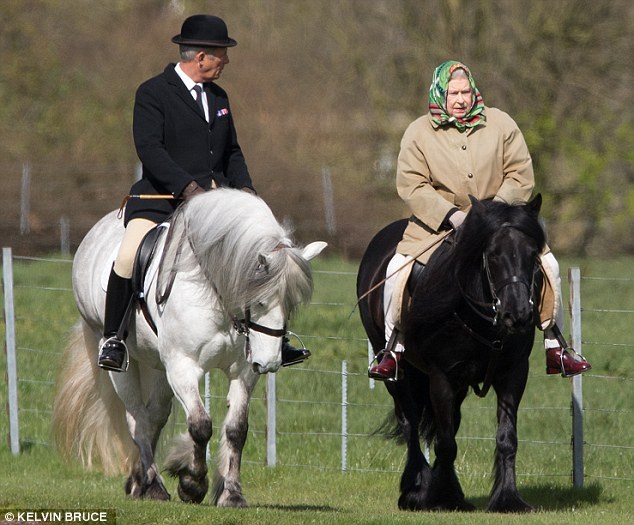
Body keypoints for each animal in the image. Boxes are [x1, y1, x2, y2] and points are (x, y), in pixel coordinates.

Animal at [51, 188, 324, 504]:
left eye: (291, 305)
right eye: (258, 301)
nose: (268, 363)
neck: (217, 297)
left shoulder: (243, 372)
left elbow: (236, 429)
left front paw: (231, 493)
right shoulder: (183, 366)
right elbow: (200, 425)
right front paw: (192, 483)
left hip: (157, 364)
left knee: (153, 416)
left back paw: (138, 481)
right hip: (118, 357)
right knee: (137, 418)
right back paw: (153, 486)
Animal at [356, 194, 544, 510]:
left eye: (533, 254)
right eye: (493, 254)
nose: (517, 315)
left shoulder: (513, 373)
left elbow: (506, 438)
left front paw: (508, 498)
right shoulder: (441, 376)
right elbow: (445, 442)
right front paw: (442, 496)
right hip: (398, 374)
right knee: (409, 424)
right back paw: (416, 489)